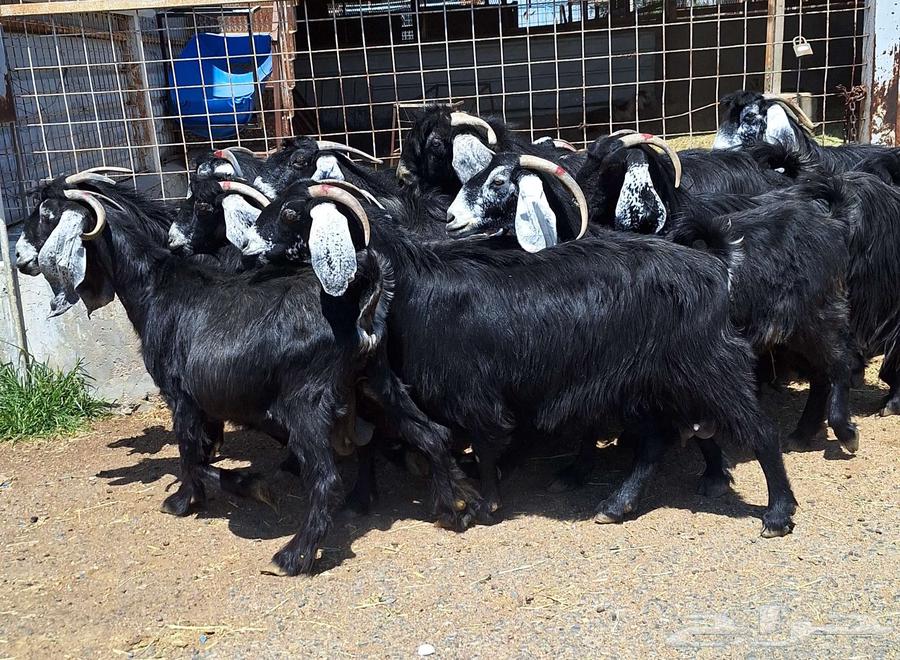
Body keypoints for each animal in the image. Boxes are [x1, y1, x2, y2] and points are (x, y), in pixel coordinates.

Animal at [16, 172, 480, 575]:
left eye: (47, 214)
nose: (19, 258)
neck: (155, 287)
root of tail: (360, 298)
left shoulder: (180, 395)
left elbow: (191, 457)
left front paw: (205, 495)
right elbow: (199, 452)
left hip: (306, 402)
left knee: (326, 478)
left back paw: (292, 556)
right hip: (378, 381)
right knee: (431, 434)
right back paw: (456, 507)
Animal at [235, 177, 797, 537]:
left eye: (292, 212)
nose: (246, 248)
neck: (416, 283)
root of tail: (715, 266)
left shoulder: (473, 389)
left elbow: (486, 441)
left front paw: (487, 504)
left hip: (709, 369)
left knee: (761, 430)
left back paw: (778, 514)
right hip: (640, 383)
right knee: (656, 442)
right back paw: (616, 506)